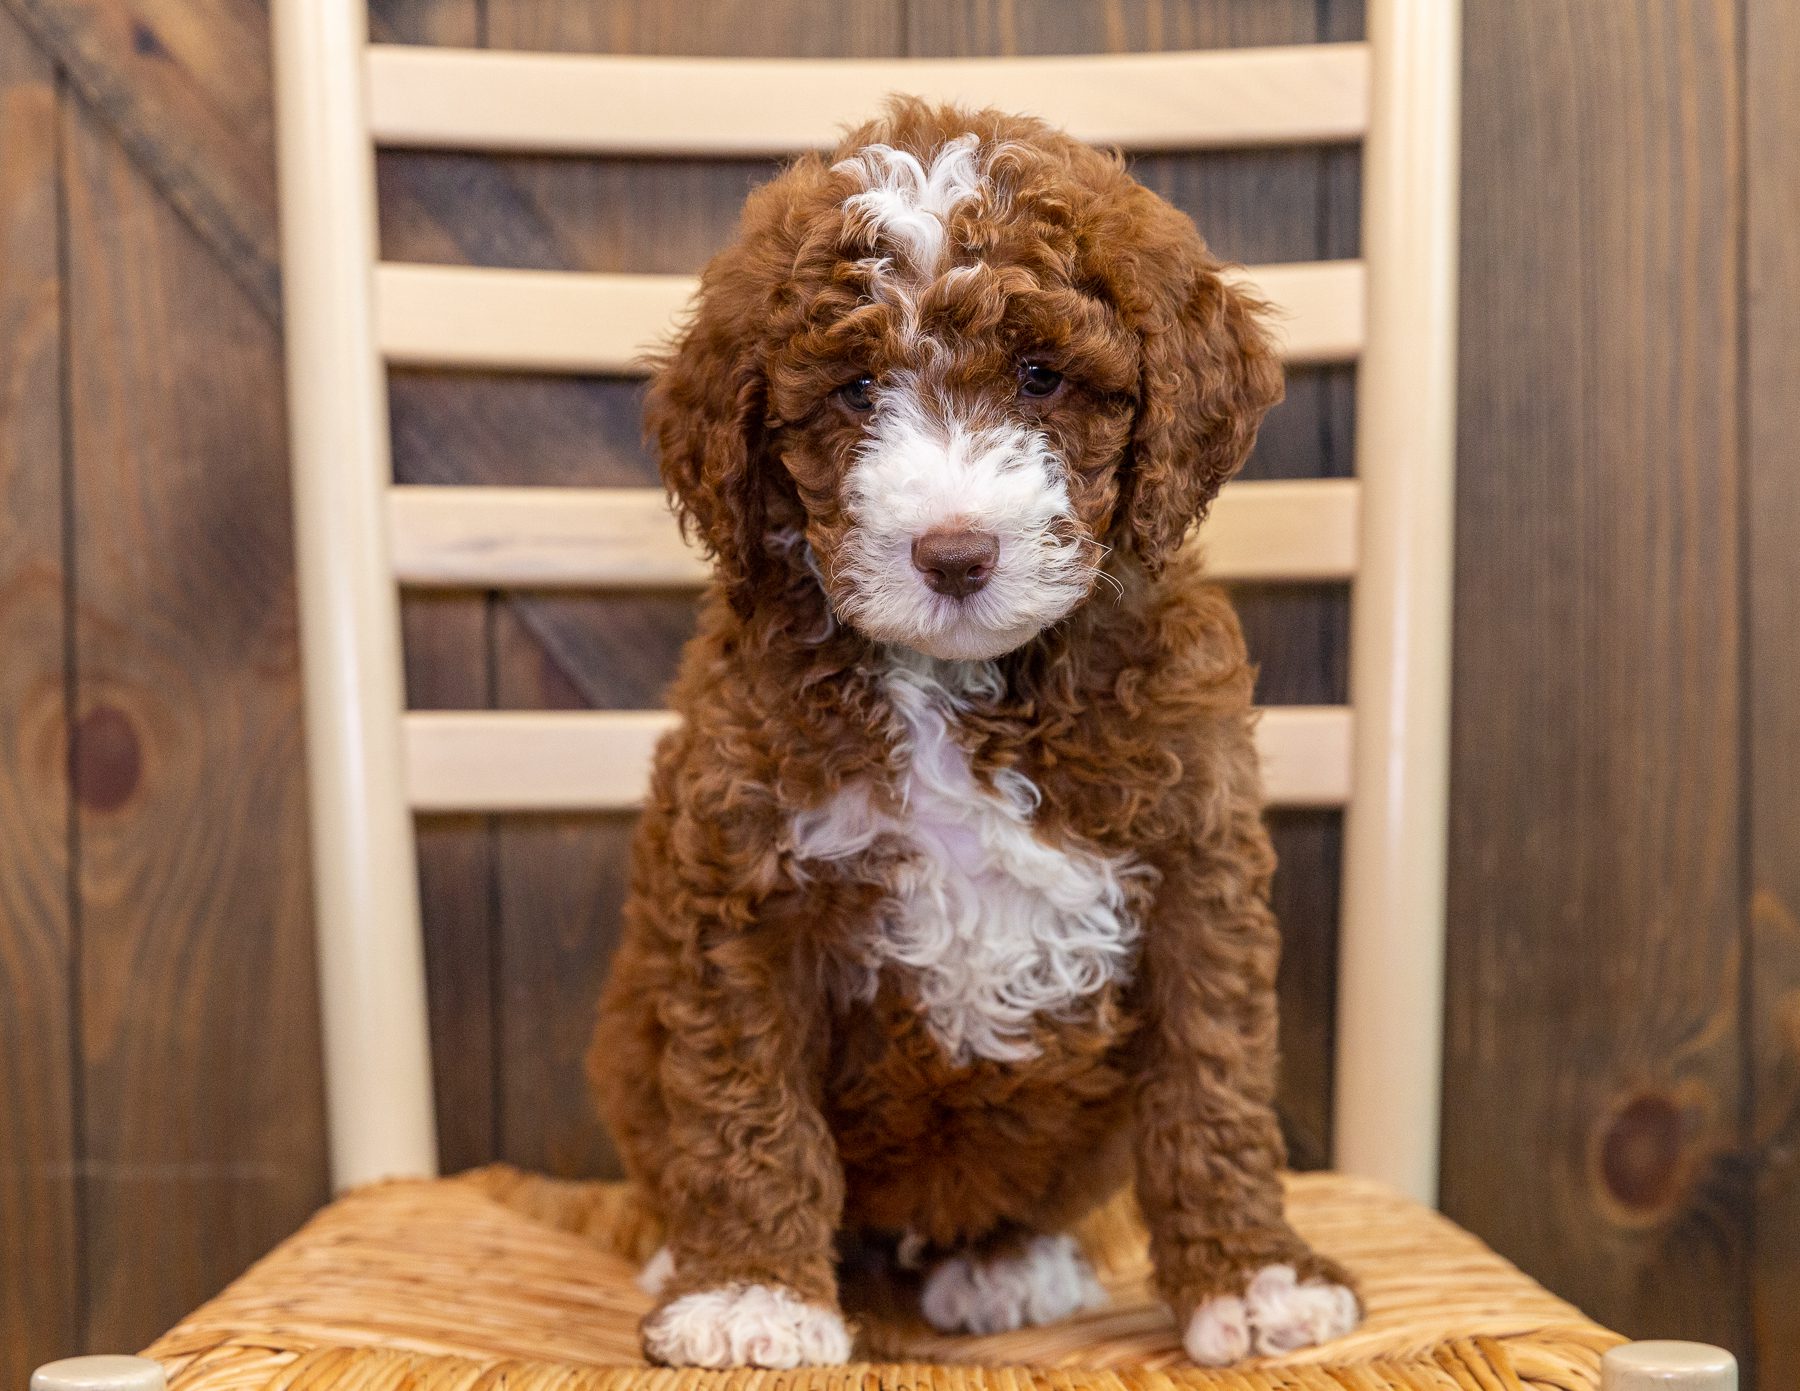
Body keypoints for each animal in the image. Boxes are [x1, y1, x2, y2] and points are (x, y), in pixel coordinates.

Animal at [597, 97, 1353, 1367]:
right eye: (856, 391)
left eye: (1042, 375)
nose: (954, 554)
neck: (966, 688)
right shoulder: (742, 884)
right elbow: (750, 1101)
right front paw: (752, 1290)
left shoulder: (1197, 864)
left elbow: (1214, 1083)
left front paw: (1254, 1275)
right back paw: (679, 1249)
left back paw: (1006, 1261)